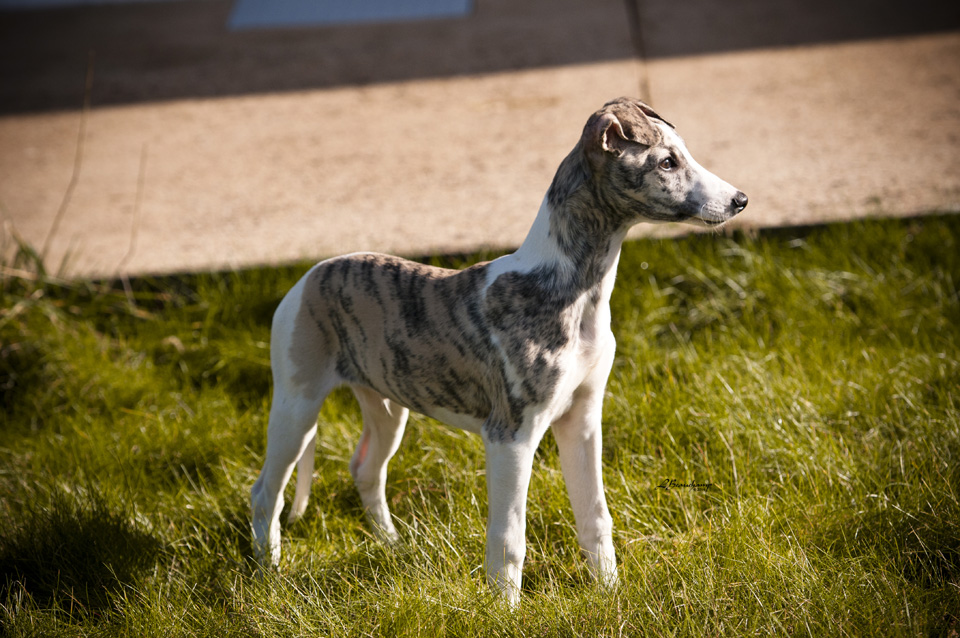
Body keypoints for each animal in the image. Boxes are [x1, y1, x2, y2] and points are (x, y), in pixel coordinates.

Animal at [250, 97, 747, 606]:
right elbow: (510, 537)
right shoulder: (511, 435)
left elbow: (595, 516)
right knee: (266, 490)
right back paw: (270, 572)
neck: (569, 290)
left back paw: (393, 544)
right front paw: (506, 610)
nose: (740, 200)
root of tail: (310, 276)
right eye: (666, 162)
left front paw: (609, 594)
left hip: (387, 405)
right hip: (296, 405)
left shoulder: (583, 419)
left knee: (365, 469)